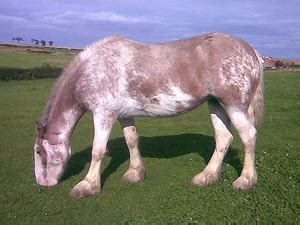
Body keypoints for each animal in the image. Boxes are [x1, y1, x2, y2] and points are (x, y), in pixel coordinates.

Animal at [34, 32, 264, 198]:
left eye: (38, 151)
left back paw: (246, 180)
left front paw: (87, 185)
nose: (42, 183)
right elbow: (132, 140)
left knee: (249, 136)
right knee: (224, 138)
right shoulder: (123, 115)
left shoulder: (103, 114)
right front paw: (135, 173)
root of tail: (251, 51)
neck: (92, 69)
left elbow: (97, 150)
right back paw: (206, 176)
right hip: (216, 104)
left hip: (234, 106)